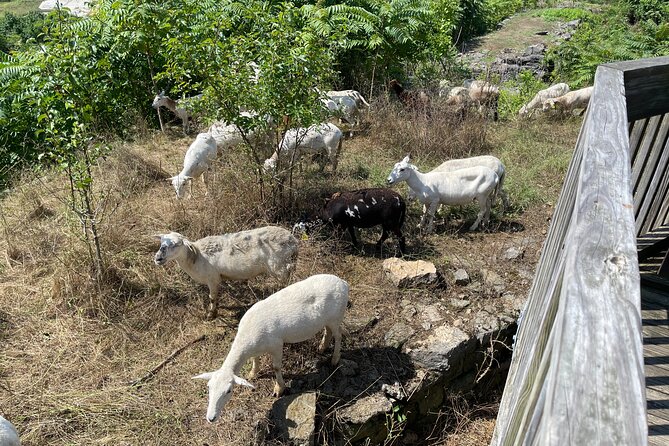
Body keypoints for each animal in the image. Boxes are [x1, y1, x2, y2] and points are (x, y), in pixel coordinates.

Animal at [154, 226, 298, 320]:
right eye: (161, 242)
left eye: (176, 244)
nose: (158, 258)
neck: (196, 257)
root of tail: (293, 240)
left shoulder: (212, 279)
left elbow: (212, 297)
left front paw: (211, 314)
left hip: (280, 267)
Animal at [190, 272, 348, 422]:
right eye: (209, 387)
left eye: (229, 390)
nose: (211, 418)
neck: (246, 339)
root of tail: (343, 283)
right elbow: (255, 359)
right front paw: (253, 373)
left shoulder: (276, 344)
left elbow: (276, 367)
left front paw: (279, 389)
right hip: (327, 319)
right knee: (328, 331)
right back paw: (322, 347)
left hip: (336, 317)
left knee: (339, 335)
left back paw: (335, 359)